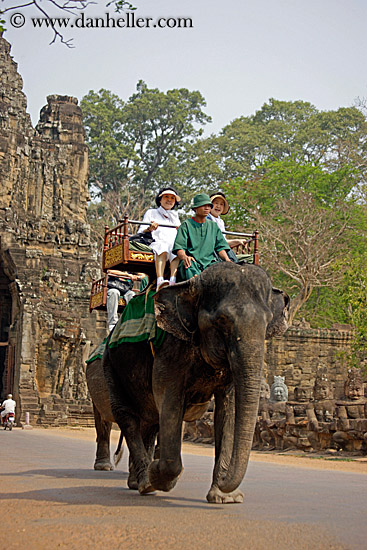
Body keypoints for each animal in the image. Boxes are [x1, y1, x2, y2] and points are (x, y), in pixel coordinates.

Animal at [102, 264, 288, 504]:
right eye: (222, 320)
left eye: (267, 322)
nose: (226, 481)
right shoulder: (170, 348)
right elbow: (169, 399)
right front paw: (159, 476)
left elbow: (229, 409)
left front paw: (225, 498)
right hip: (110, 365)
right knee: (127, 416)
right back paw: (146, 483)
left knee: (150, 419)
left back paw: (137, 482)